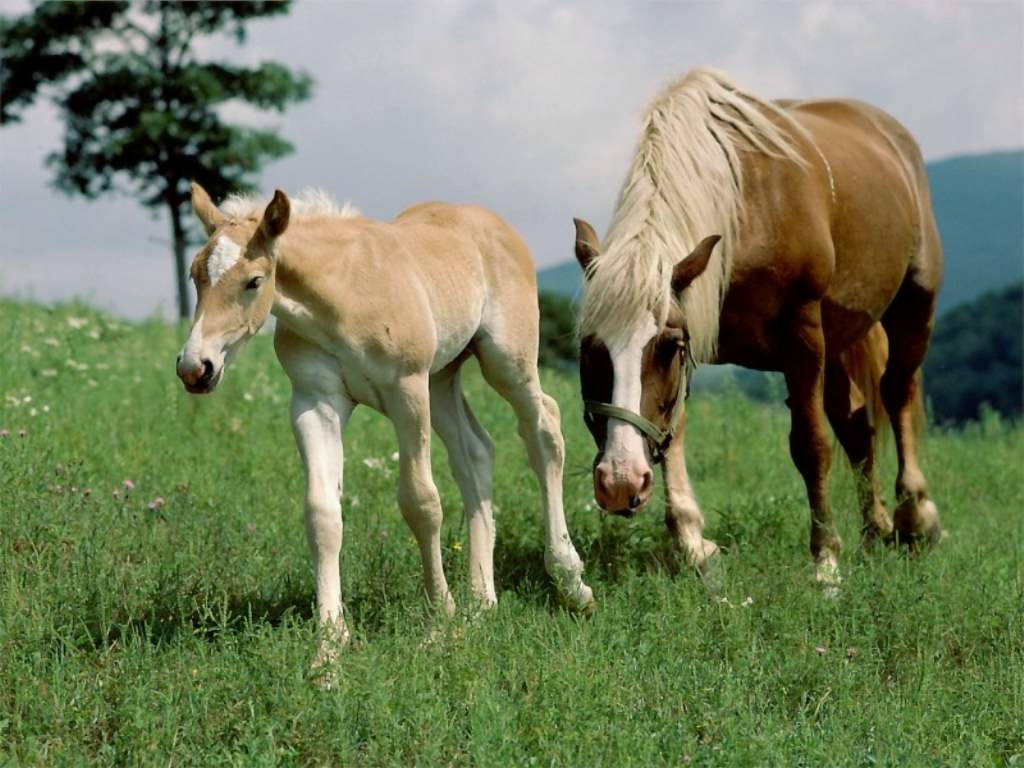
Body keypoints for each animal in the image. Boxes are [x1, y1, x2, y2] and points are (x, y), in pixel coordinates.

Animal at [176, 183, 593, 668]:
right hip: (442, 378)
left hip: (505, 362)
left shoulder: (406, 390)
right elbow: (322, 515)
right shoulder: (315, 402)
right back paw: (481, 603)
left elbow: (421, 502)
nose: (195, 368)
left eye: (254, 281)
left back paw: (570, 580)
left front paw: (440, 622)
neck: (341, 296)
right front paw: (328, 649)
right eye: (195, 276)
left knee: (544, 428)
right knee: (476, 452)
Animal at [572, 68, 944, 587]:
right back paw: (875, 530)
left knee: (897, 393)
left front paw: (825, 561)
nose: (620, 481)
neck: (743, 210)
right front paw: (693, 542)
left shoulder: (801, 331)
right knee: (857, 426)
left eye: (665, 346)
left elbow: (810, 444)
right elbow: (673, 429)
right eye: (590, 349)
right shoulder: (697, 328)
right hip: (839, 338)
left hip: (913, 303)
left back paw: (915, 516)